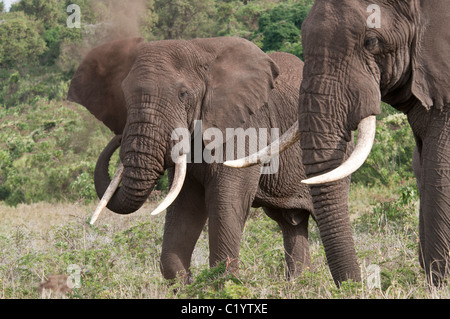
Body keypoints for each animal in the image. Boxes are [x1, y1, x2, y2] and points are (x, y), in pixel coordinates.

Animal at [67, 36, 320, 282]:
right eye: (124, 95)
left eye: (183, 94)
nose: (119, 136)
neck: (200, 50)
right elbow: (185, 204)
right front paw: (186, 282)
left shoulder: (247, 127)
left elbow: (227, 198)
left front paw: (223, 282)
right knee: (291, 223)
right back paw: (299, 285)